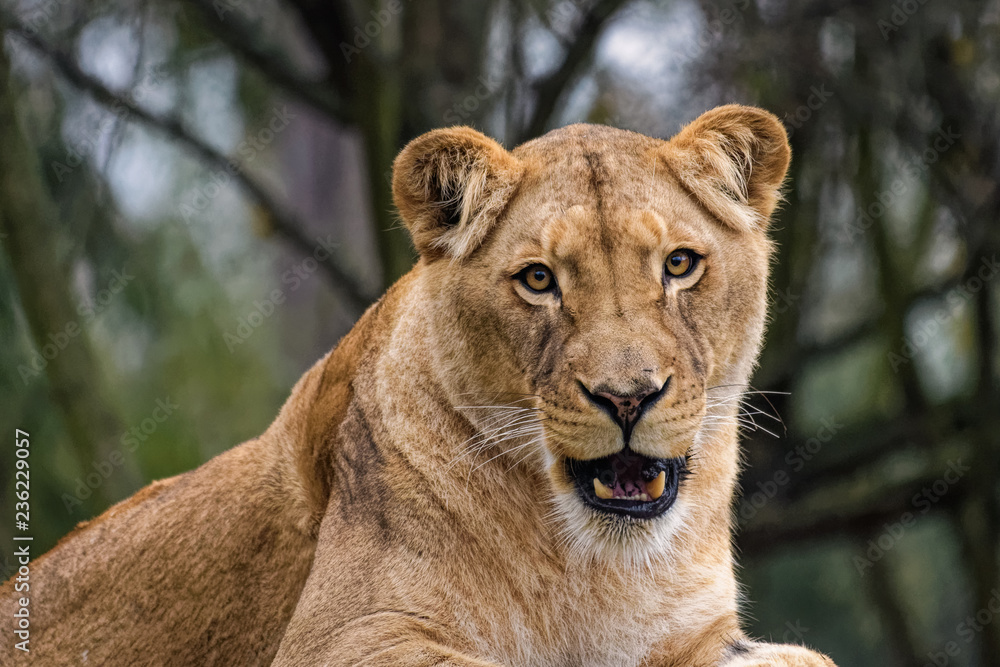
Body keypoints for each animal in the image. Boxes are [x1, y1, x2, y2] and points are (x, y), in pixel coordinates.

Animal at [1, 105, 836, 666]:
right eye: (539, 279)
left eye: (679, 265)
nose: (627, 396)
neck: (596, 565)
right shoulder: (340, 637)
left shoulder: (698, 632)